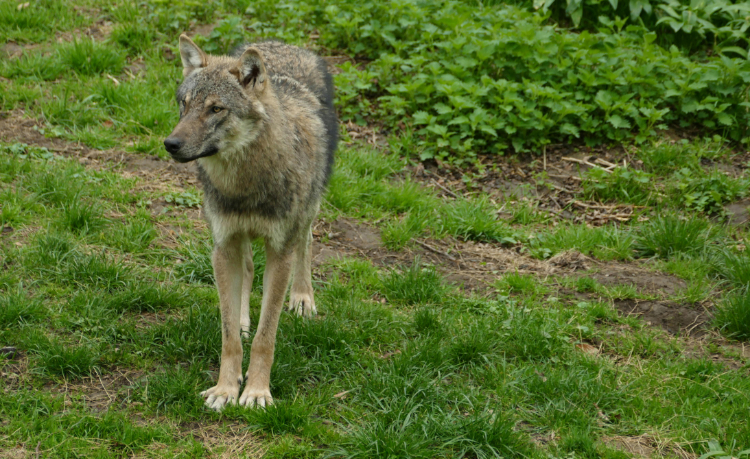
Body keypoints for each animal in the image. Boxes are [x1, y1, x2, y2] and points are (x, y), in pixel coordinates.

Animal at [163, 34, 337, 410]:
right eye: (184, 104)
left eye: (216, 109)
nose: (170, 144)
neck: (244, 186)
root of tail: (282, 44)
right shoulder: (222, 246)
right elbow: (229, 335)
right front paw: (226, 388)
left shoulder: (279, 252)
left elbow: (265, 337)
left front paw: (257, 391)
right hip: (236, 242)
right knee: (246, 270)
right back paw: (245, 320)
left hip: (309, 209)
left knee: (307, 242)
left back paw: (303, 298)